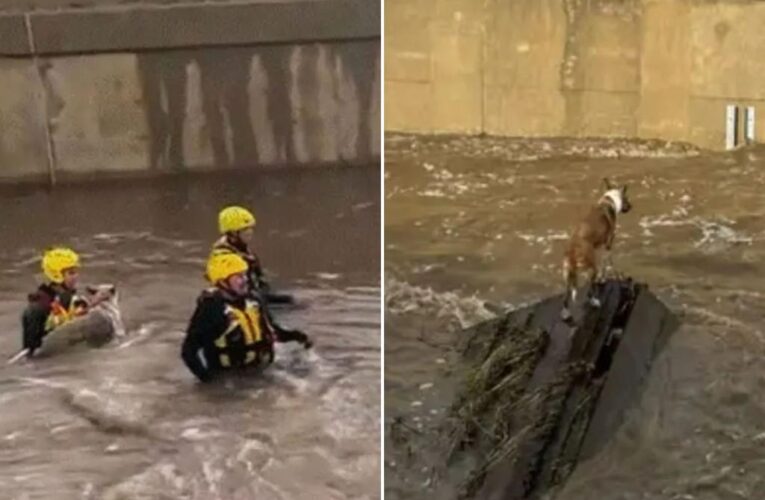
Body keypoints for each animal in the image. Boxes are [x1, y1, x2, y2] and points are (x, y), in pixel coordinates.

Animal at [560, 180, 632, 318]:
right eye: (626, 199)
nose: (631, 207)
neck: (609, 201)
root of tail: (573, 251)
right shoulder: (608, 244)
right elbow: (606, 263)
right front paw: (603, 279)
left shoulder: (599, 247)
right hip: (591, 268)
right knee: (590, 290)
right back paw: (594, 301)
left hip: (567, 274)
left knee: (566, 295)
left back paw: (566, 312)